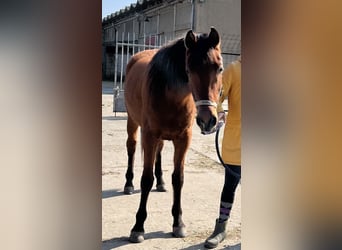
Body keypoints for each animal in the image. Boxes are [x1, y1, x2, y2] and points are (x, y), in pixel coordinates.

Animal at [124, 27, 223, 242]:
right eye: (189, 69)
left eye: (219, 68)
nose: (207, 120)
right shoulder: (149, 135)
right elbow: (146, 179)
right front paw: (138, 227)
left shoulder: (183, 139)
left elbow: (178, 179)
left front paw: (178, 223)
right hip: (132, 122)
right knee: (132, 148)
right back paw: (128, 183)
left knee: (159, 153)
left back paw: (161, 182)